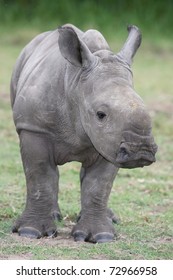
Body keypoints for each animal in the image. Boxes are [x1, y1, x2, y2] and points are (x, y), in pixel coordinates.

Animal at [10, 24, 157, 243]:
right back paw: (54, 216)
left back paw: (110, 218)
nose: (141, 152)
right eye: (100, 114)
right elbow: (40, 176)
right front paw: (30, 232)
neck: (76, 85)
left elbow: (99, 186)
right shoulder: (33, 127)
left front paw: (101, 236)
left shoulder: (110, 142)